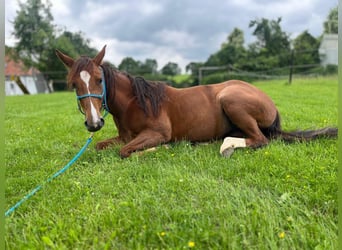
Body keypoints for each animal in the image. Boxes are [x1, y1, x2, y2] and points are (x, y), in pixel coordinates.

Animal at [55, 46, 336, 157]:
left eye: (98, 79)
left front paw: (162, 149)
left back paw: (226, 147)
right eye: (74, 84)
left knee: (260, 140)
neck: (135, 102)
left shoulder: (156, 133)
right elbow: (100, 146)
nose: (94, 123)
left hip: (231, 100)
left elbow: (124, 152)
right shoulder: (125, 136)